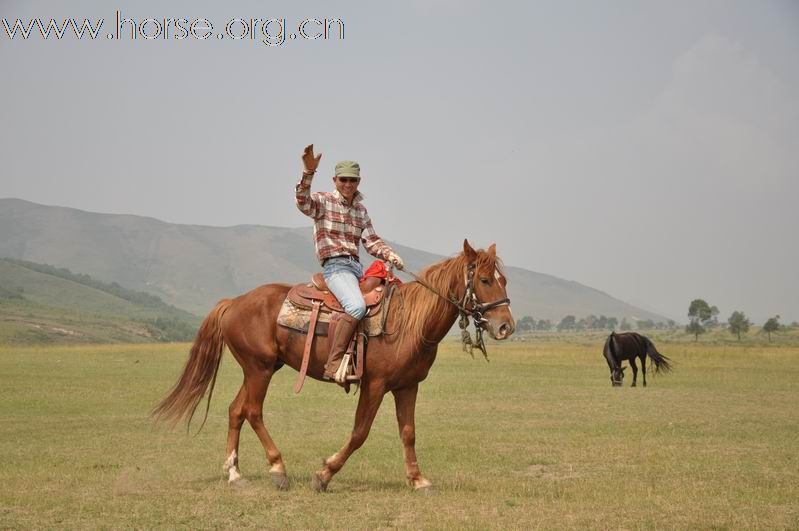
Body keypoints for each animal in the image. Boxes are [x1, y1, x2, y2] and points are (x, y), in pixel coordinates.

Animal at [153, 239, 516, 492]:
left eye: (504, 280)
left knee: (235, 410)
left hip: (261, 369)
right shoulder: (374, 385)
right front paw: (324, 474)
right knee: (252, 412)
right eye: (485, 280)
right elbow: (359, 433)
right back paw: (278, 470)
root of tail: (234, 302)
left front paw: (418, 480)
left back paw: (234, 474)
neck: (409, 322)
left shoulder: (407, 386)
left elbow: (409, 433)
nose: (505, 327)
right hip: (259, 369)